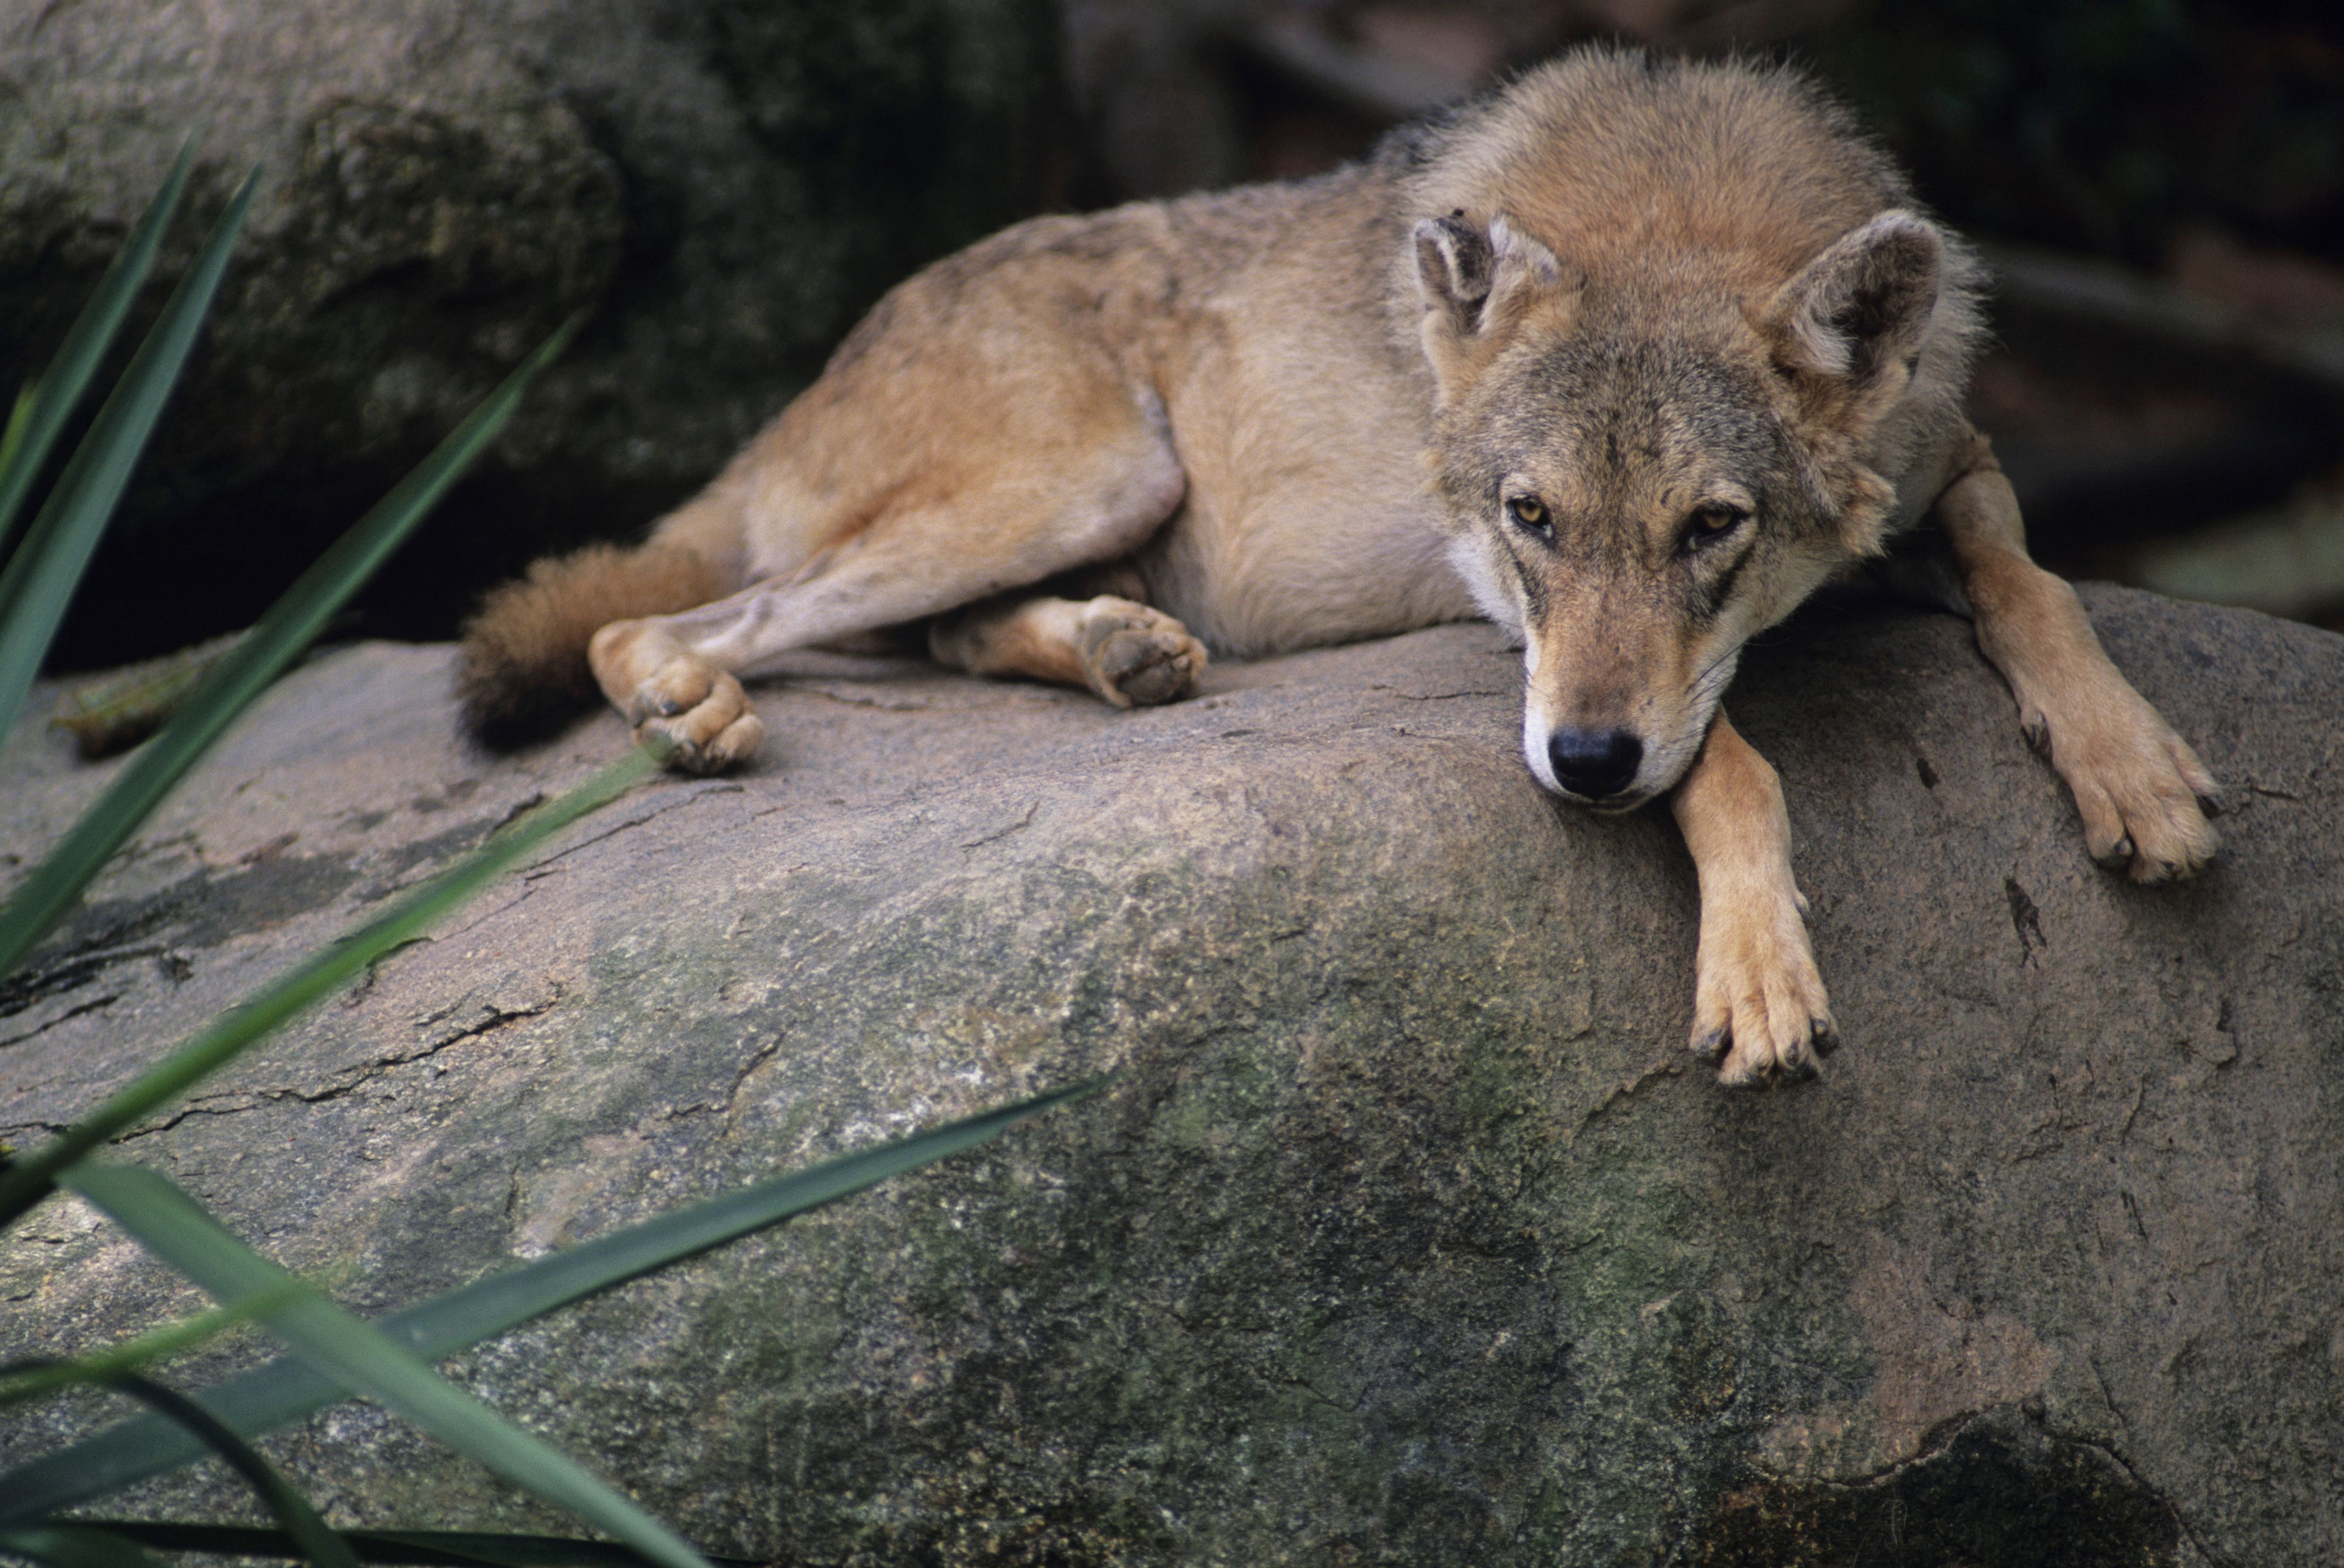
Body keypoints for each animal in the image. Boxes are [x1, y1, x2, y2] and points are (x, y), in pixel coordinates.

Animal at [452, 46, 2213, 1078]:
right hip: (1084, 472)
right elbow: (1727, 762)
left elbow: (2033, 580)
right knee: (675, 621)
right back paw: (689, 707)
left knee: (935, 639)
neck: (1675, 201)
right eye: (1531, 521)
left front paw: (2135, 769)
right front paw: (1760, 968)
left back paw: (1122, 651)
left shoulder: (1950, 460)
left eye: (1712, 528)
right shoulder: (1508, 627)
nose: (1584, 765)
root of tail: (832, 353)